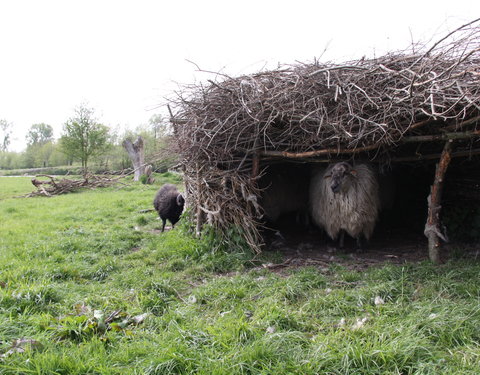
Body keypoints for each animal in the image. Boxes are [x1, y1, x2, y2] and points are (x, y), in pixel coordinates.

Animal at [168, 19, 480, 262]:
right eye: (333, 174)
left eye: (345, 173)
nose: (332, 186)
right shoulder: (335, 218)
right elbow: (339, 234)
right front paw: (340, 246)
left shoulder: (361, 218)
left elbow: (359, 237)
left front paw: (359, 248)